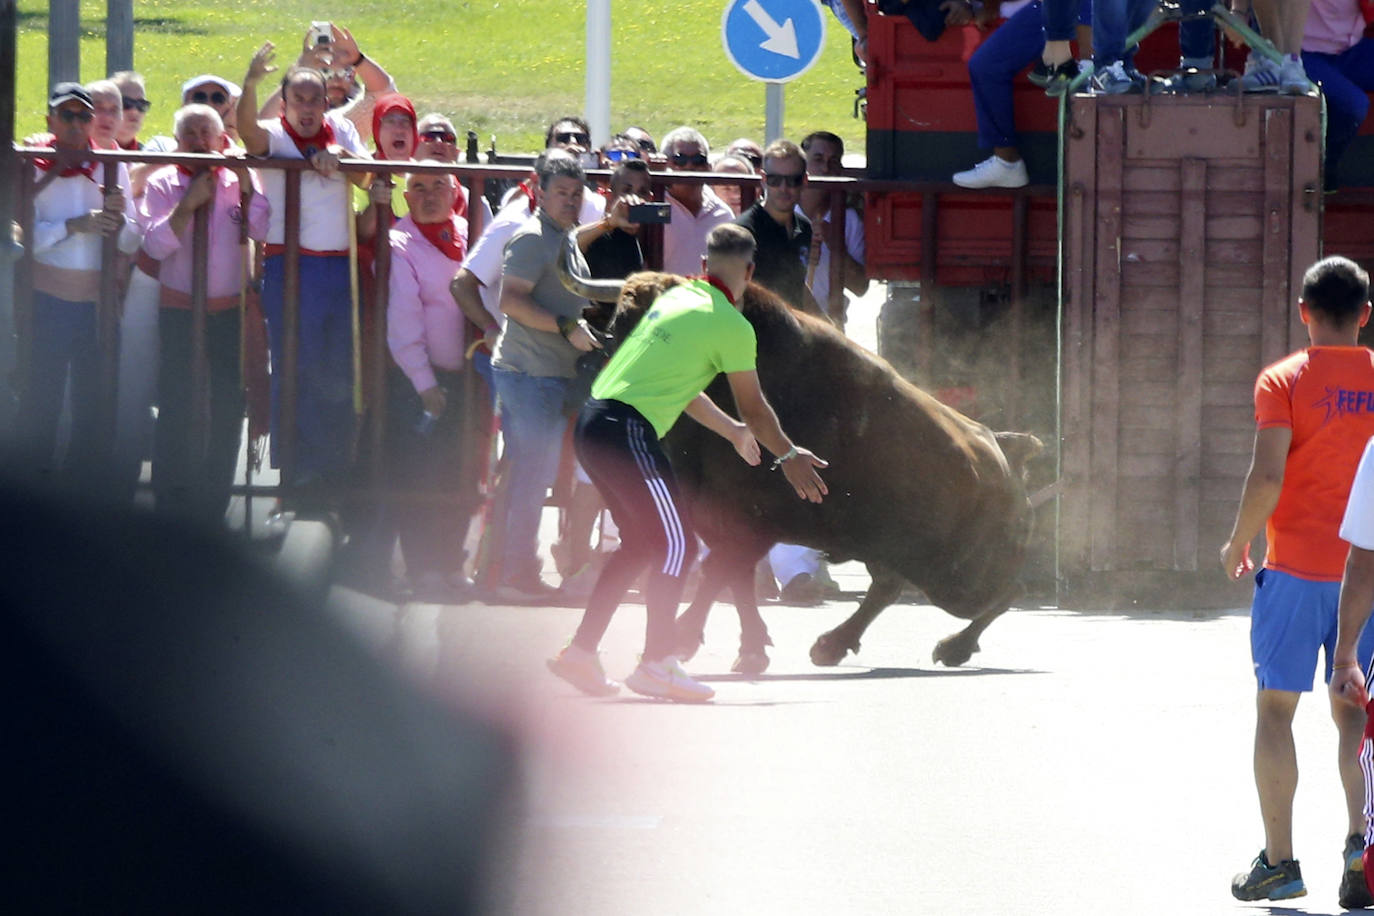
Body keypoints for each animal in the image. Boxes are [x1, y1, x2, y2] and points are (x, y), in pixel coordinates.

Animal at [557, 258, 1038, 672]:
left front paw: (683, 638)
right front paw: (750, 649)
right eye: (619, 327)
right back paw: (832, 646)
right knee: (888, 587)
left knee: (1005, 591)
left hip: (954, 579)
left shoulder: (750, 526)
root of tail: (1005, 452)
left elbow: (720, 575)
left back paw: (951, 648)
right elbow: (735, 581)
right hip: (891, 552)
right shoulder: (722, 522)